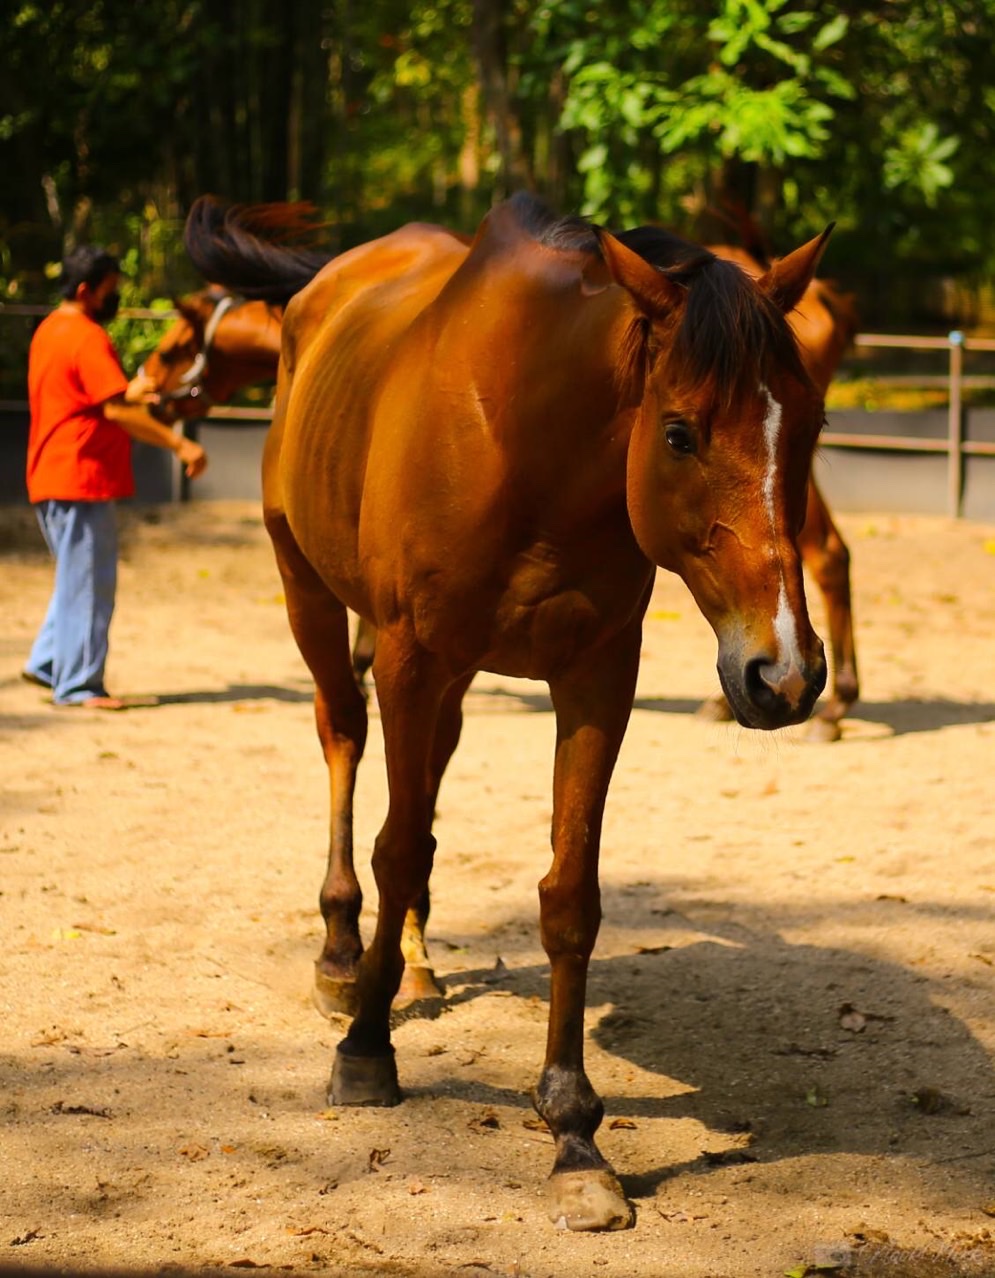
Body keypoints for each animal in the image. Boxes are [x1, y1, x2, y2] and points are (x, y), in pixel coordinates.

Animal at [184, 190, 831, 1231]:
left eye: (810, 424)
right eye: (679, 432)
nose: (785, 675)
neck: (531, 448)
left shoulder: (597, 676)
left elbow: (567, 895)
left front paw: (573, 1133)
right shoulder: (411, 658)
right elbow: (397, 849)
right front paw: (365, 1052)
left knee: (423, 789)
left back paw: (409, 960)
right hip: (309, 596)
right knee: (343, 741)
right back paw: (342, 955)